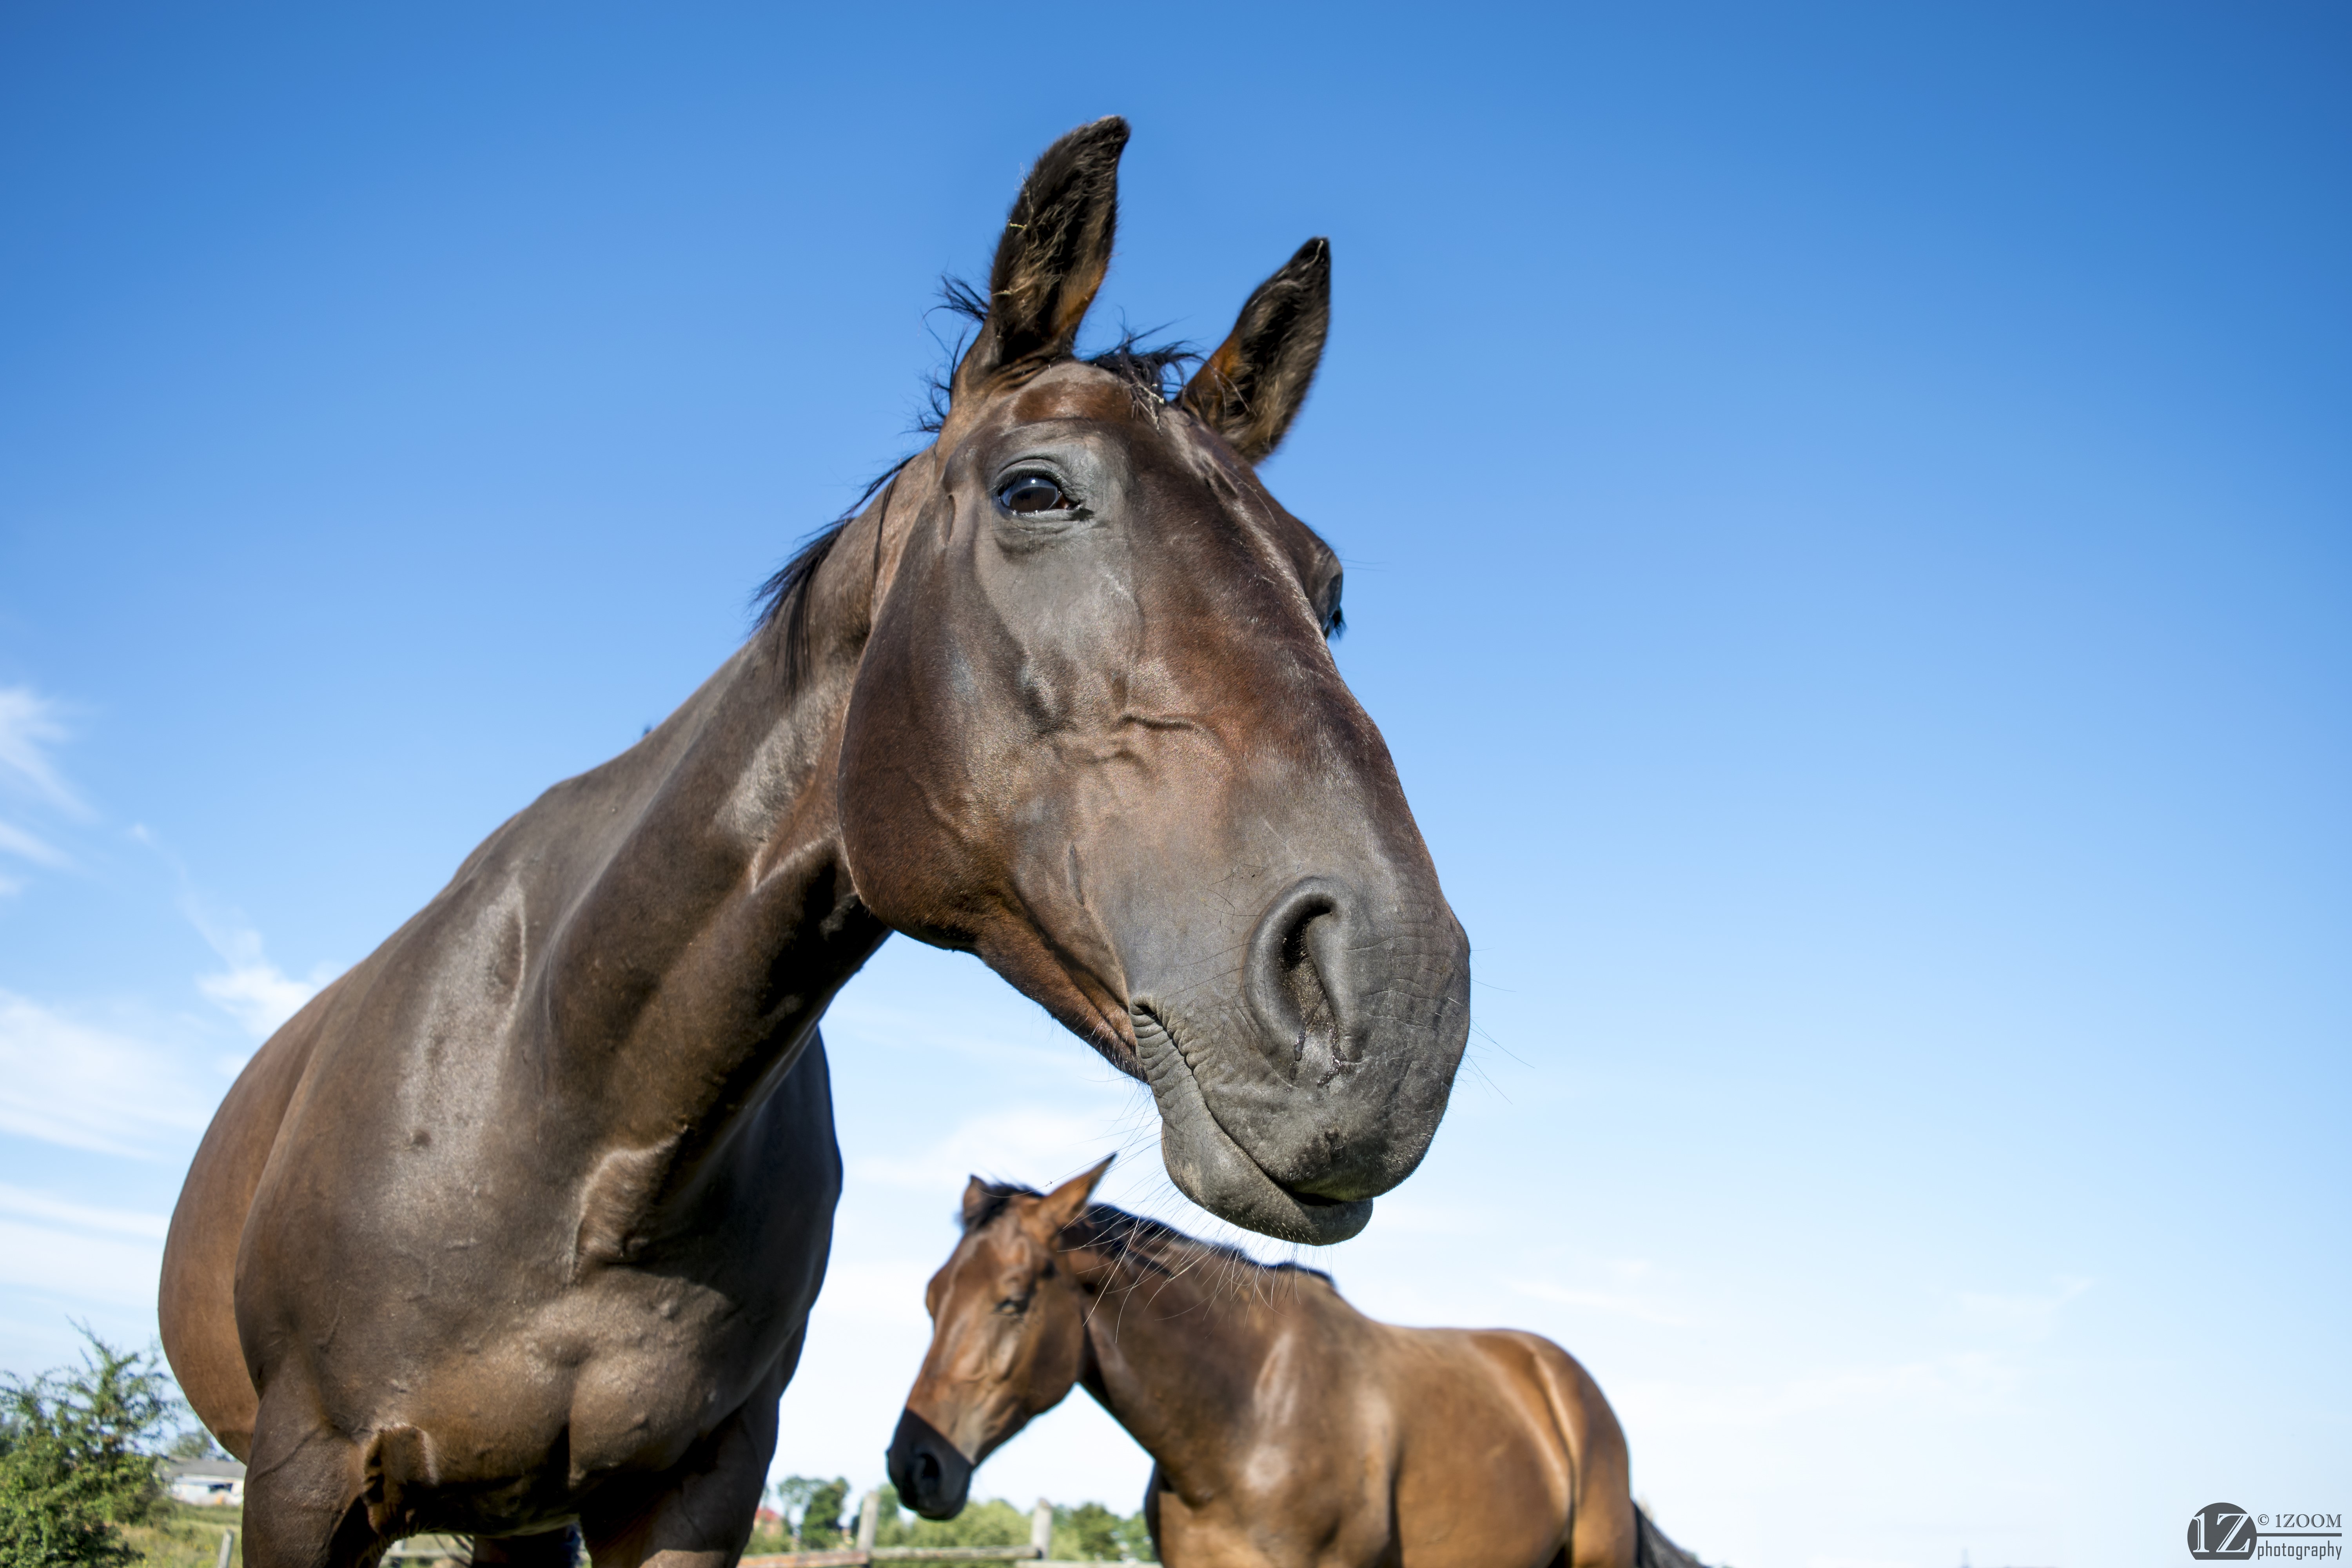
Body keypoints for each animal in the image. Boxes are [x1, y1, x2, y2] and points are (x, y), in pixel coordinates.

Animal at [157, 117, 1472, 1568]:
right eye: (1035, 490)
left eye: (1330, 592)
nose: (1397, 1005)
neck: (578, 1117)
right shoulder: (304, 1476)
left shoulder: (701, 1484)